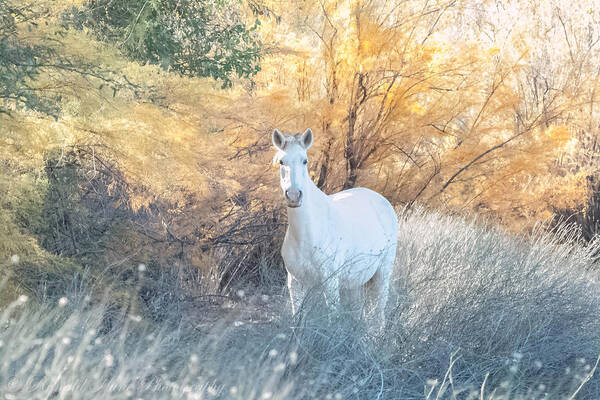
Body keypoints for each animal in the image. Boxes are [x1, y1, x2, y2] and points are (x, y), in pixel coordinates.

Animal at [274, 129, 398, 328]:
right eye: (281, 161)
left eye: (305, 161)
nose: (293, 196)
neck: (308, 233)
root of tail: (381, 199)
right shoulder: (296, 283)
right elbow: (297, 321)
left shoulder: (331, 283)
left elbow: (333, 319)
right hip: (356, 282)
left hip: (382, 274)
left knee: (378, 316)